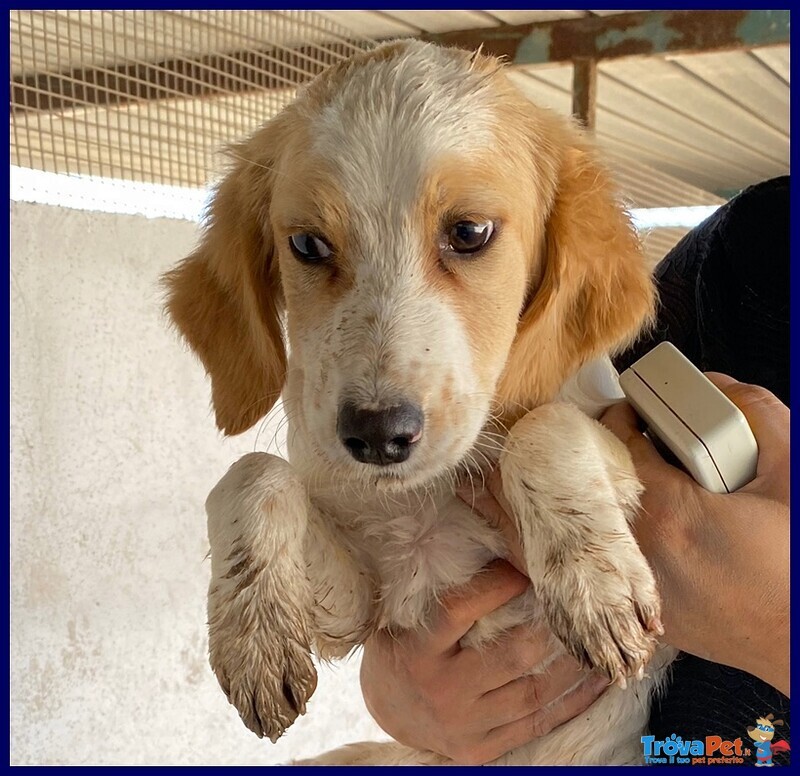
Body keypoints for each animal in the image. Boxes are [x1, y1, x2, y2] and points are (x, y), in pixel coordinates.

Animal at [164, 41, 676, 764]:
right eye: (308, 245)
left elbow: (545, 426)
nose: (378, 436)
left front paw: (595, 584)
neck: (420, 501)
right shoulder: (361, 607)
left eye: (469, 232)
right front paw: (253, 633)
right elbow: (254, 473)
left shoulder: (623, 450)